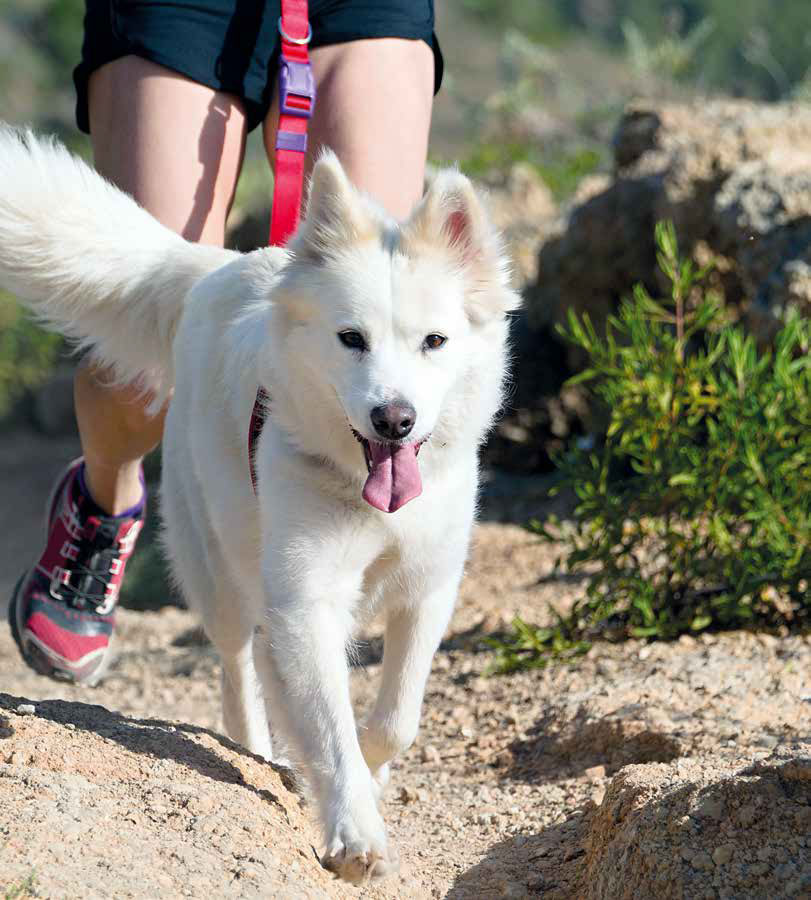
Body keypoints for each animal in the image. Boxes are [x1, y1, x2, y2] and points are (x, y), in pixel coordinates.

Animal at [0, 126, 520, 880]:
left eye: (434, 341)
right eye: (351, 339)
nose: (393, 419)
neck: (365, 494)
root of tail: (218, 268)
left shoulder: (428, 589)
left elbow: (394, 720)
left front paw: (369, 774)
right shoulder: (306, 595)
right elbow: (329, 722)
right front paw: (354, 831)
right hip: (219, 564)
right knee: (239, 669)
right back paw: (260, 744)